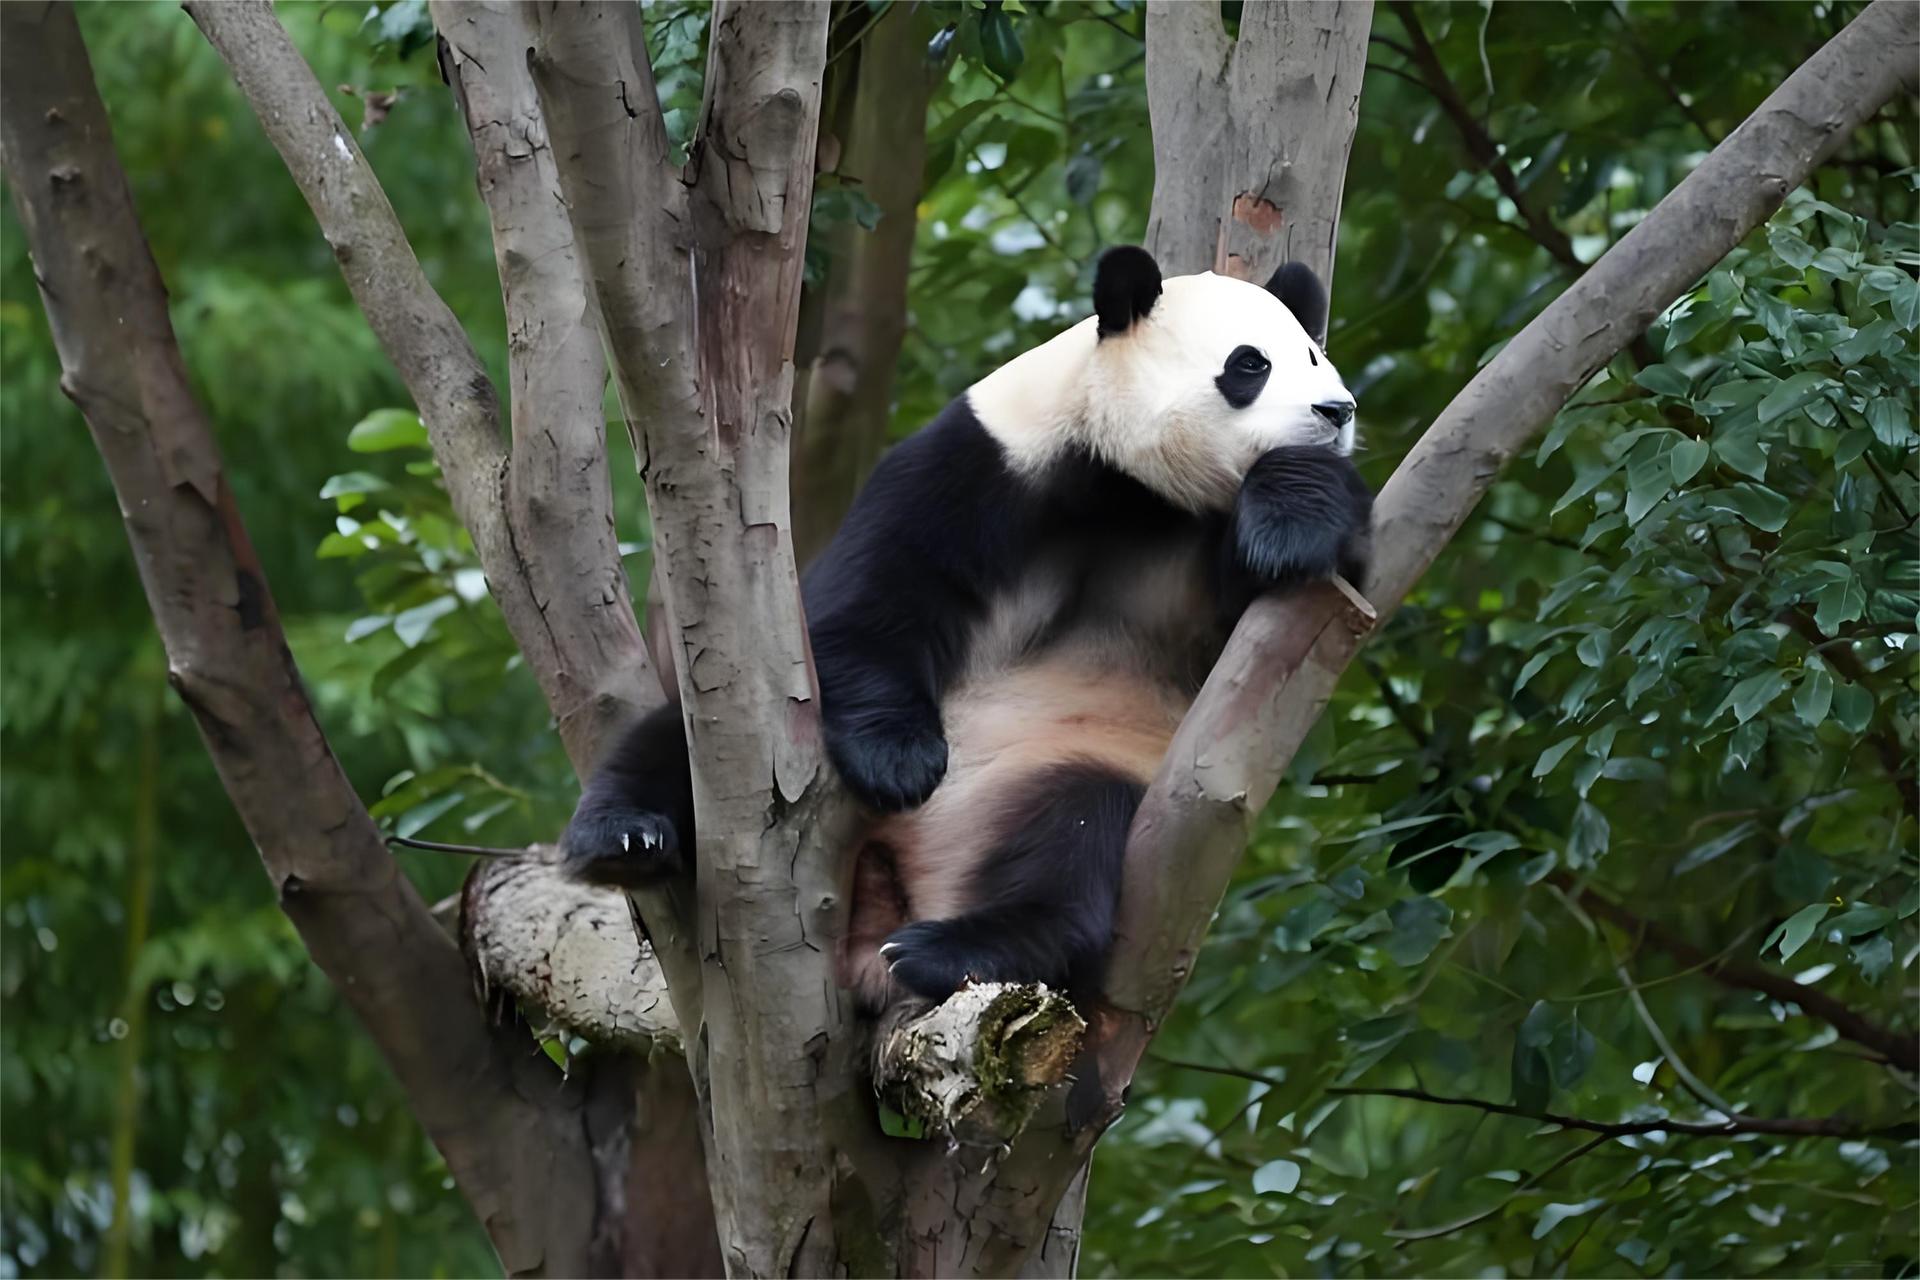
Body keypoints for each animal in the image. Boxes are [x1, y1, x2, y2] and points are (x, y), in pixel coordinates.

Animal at [561, 245, 1371, 1012]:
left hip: (1071, 757)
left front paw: (1290, 515)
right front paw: (899, 758)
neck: (1134, 488)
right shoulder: (987, 459)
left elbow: (1287, 618)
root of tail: (898, 894)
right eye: (1250, 364)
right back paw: (623, 837)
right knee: (681, 743)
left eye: (1313, 355)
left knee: (1075, 837)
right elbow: (877, 589)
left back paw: (947, 950)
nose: (1338, 409)